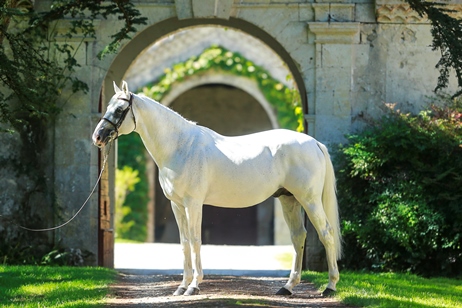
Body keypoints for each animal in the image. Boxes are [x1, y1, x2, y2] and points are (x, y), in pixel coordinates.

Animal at [92, 81, 342, 296]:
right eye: (108, 106)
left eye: (120, 109)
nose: (98, 137)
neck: (181, 146)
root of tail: (314, 143)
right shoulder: (177, 205)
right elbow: (184, 243)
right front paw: (181, 287)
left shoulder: (193, 203)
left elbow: (195, 240)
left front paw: (194, 286)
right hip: (289, 199)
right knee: (298, 236)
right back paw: (287, 287)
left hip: (309, 200)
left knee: (326, 234)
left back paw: (330, 287)